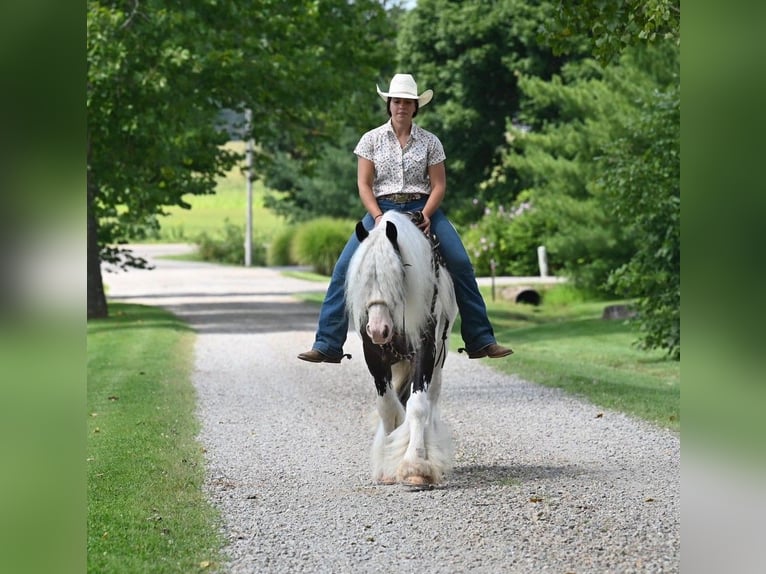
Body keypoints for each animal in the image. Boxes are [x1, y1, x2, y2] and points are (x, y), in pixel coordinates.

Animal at [344, 209, 460, 488]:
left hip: (440, 357)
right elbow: (388, 407)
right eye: (362, 279)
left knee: (431, 400)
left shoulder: (425, 350)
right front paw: (387, 466)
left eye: (397, 276)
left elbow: (417, 406)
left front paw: (416, 467)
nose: (378, 330)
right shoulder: (373, 355)